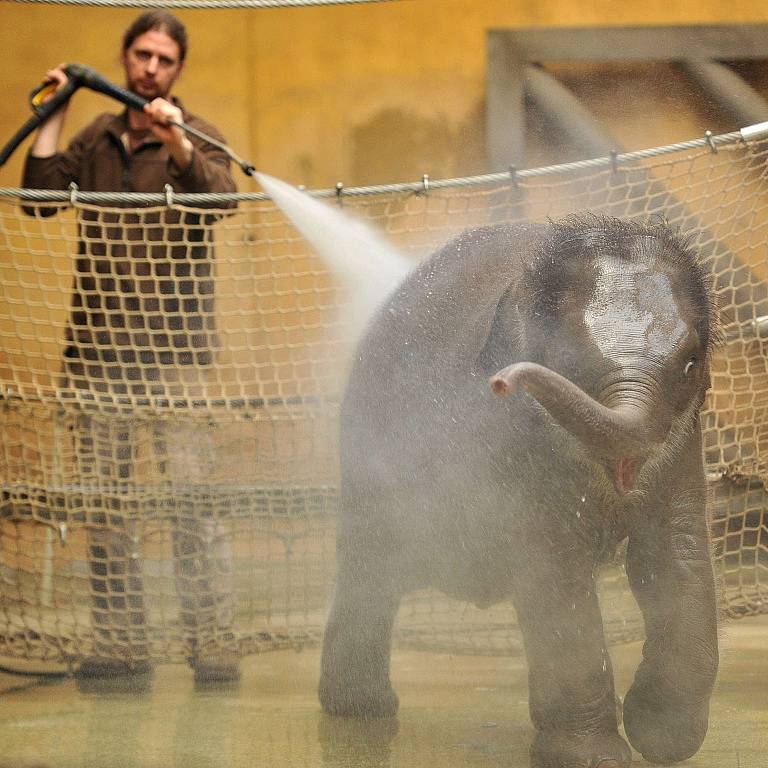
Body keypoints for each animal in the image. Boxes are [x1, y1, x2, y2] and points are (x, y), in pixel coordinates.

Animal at [320, 216, 720, 768]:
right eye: (570, 362)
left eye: (690, 363)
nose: (502, 383)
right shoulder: (510, 444)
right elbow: (553, 568)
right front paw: (595, 758)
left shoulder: (684, 440)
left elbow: (673, 555)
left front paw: (663, 738)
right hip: (371, 443)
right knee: (373, 566)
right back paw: (361, 711)